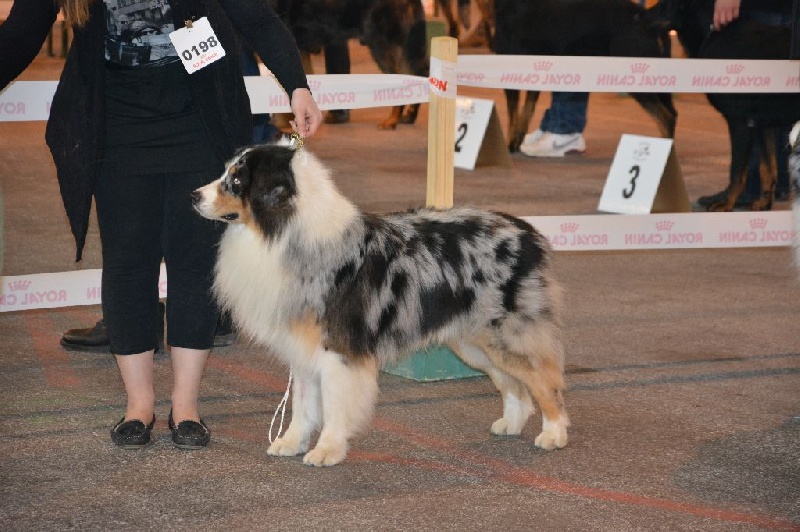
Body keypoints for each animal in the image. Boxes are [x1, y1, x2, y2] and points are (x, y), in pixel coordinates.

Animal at [194, 142, 568, 466]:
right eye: (227, 172)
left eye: (237, 181)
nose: (193, 196)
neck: (285, 233)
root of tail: (526, 231)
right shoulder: (303, 348)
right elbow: (303, 403)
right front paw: (292, 442)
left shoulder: (339, 349)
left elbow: (334, 403)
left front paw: (327, 449)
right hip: (473, 342)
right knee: (515, 385)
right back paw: (511, 423)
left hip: (507, 334)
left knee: (545, 381)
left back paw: (555, 434)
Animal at [494, 0, 676, 152]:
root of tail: (649, 20)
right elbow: (525, 114)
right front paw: (516, 143)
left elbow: (514, 115)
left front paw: (511, 145)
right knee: (671, 115)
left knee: (666, 118)